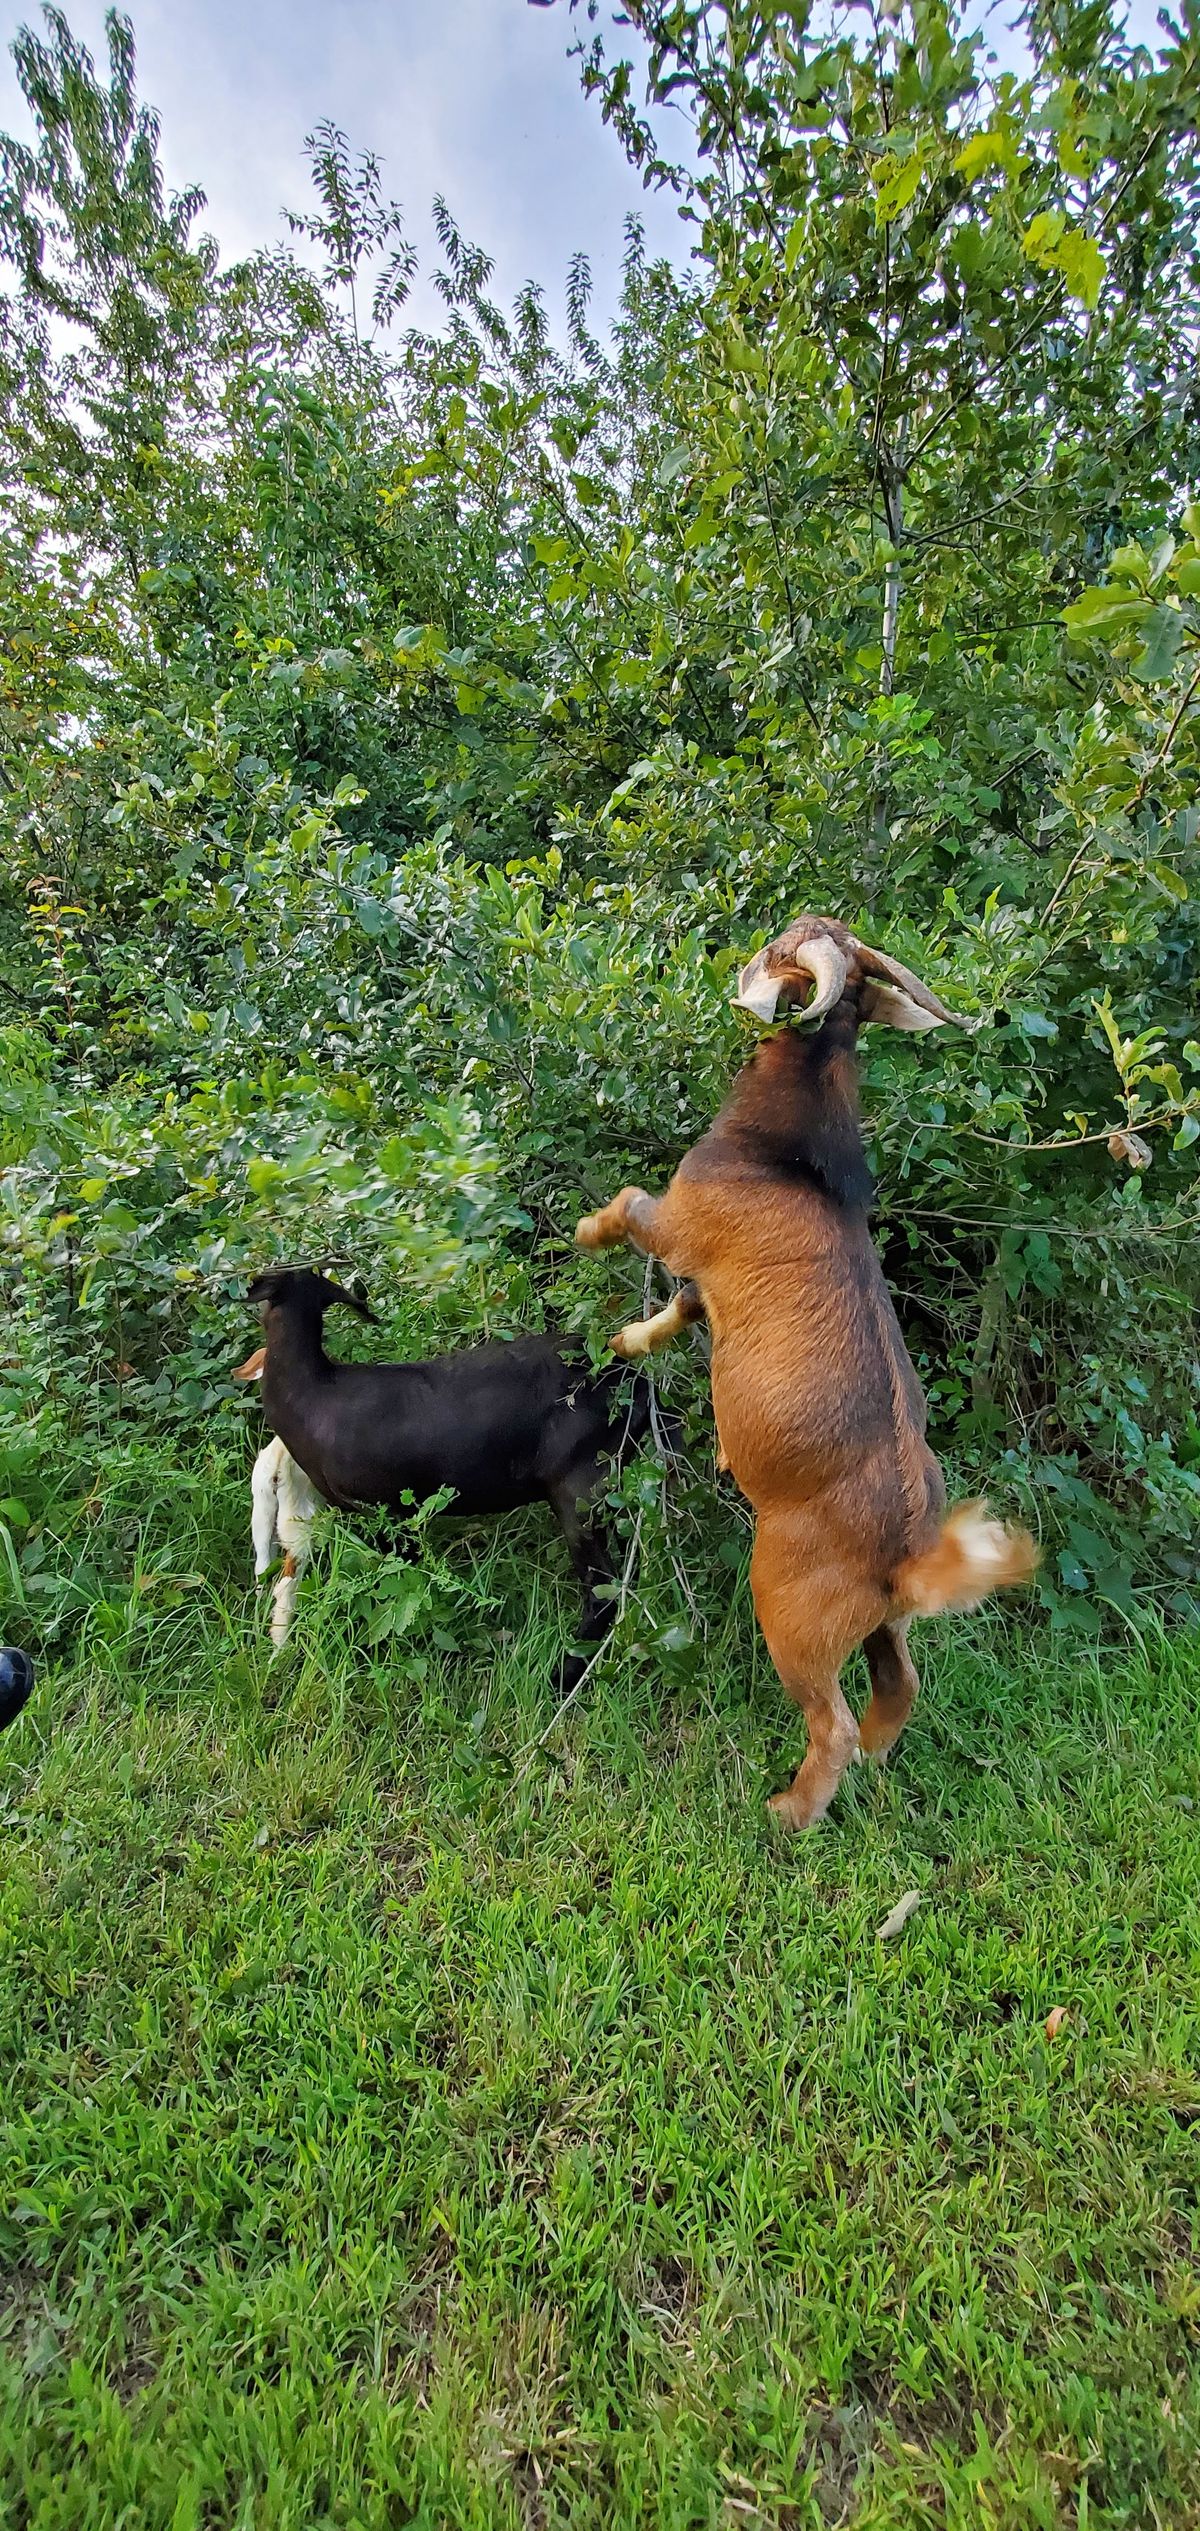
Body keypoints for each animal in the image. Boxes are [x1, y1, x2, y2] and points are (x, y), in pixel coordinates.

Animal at [234, 1269, 650, 1691]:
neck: (313, 1394)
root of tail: (635, 1383)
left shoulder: (389, 1509)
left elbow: (403, 1577)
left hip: (580, 1486)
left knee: (603, 1588)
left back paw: (562, 1676)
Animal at [575, 913, 1037, 1831]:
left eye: (781, 949)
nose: (741, 956)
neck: (786, 1151)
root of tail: (908, 1554)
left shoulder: (677, 1222)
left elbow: (631, 1205)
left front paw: (583, 1231)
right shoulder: (703, 1281)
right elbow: (683, 1310)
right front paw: (628, 1341)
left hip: (789, 1615)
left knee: (832, 1725)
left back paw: (790, 1809)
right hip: (884, 1625)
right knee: (900, 1684)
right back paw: (880, 1759)